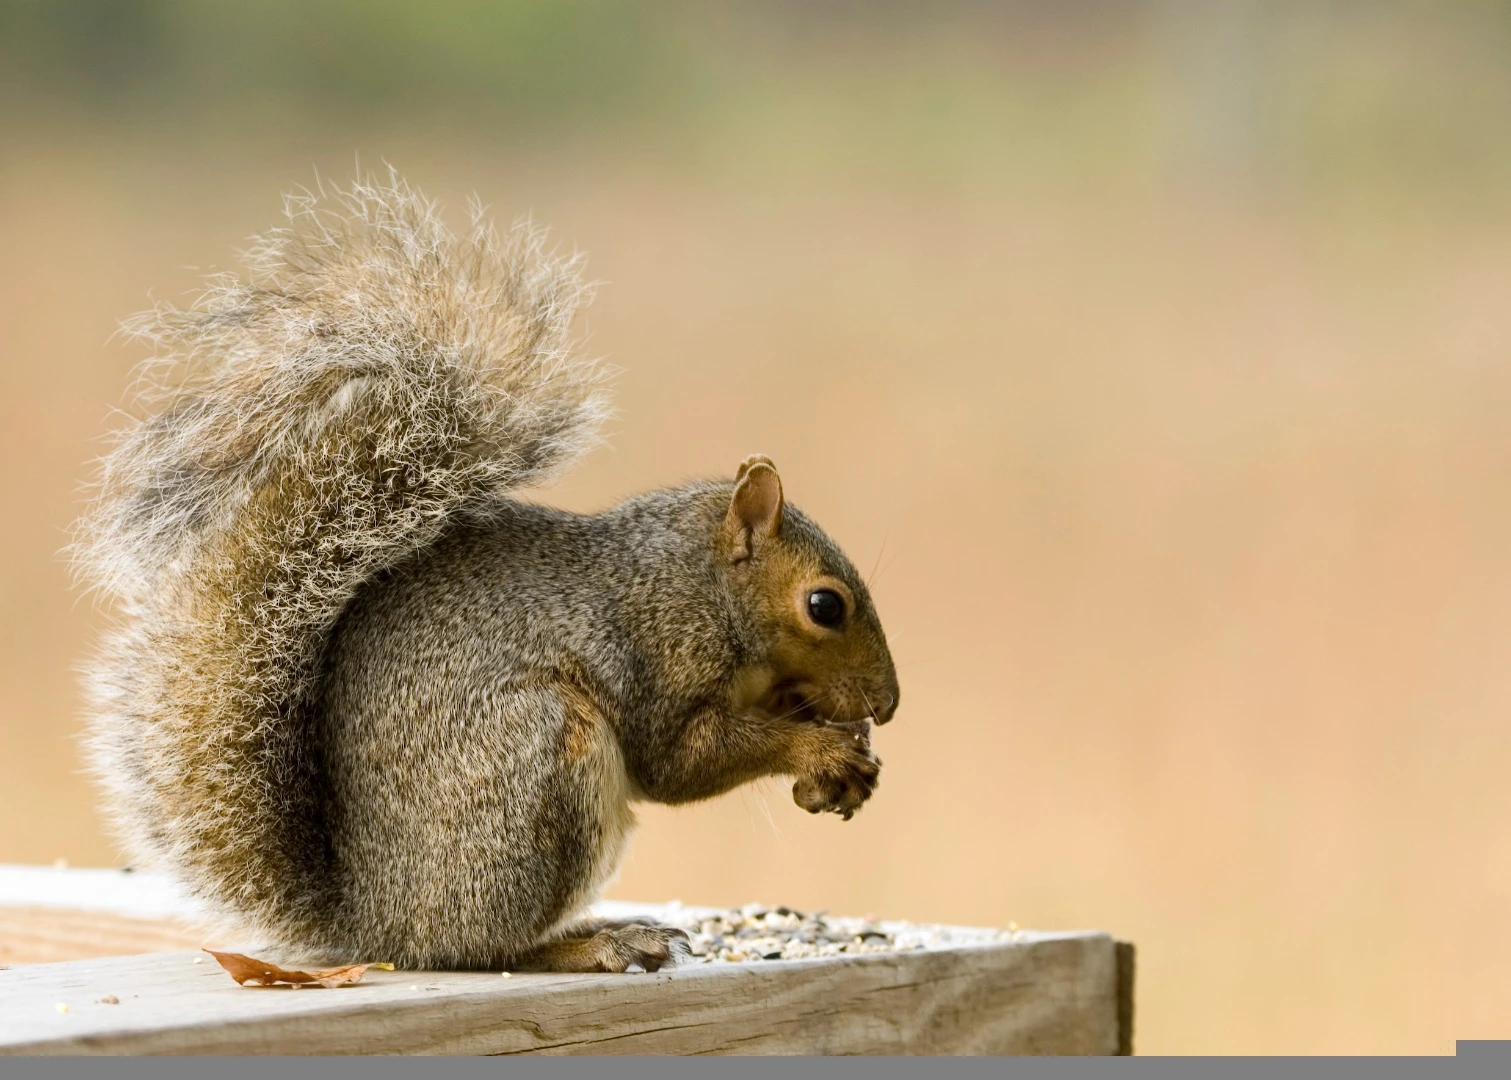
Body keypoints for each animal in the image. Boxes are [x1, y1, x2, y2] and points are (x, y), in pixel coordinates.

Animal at [71, 171, 900, 973]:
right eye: (824, 605)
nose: (887, 705)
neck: (701, 586)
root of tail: (376, 925)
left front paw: (843, 747)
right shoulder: (660, 655)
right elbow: (679, 764)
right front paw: (819, 748)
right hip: (541, 763)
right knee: (485, 948)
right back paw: (591, 944)